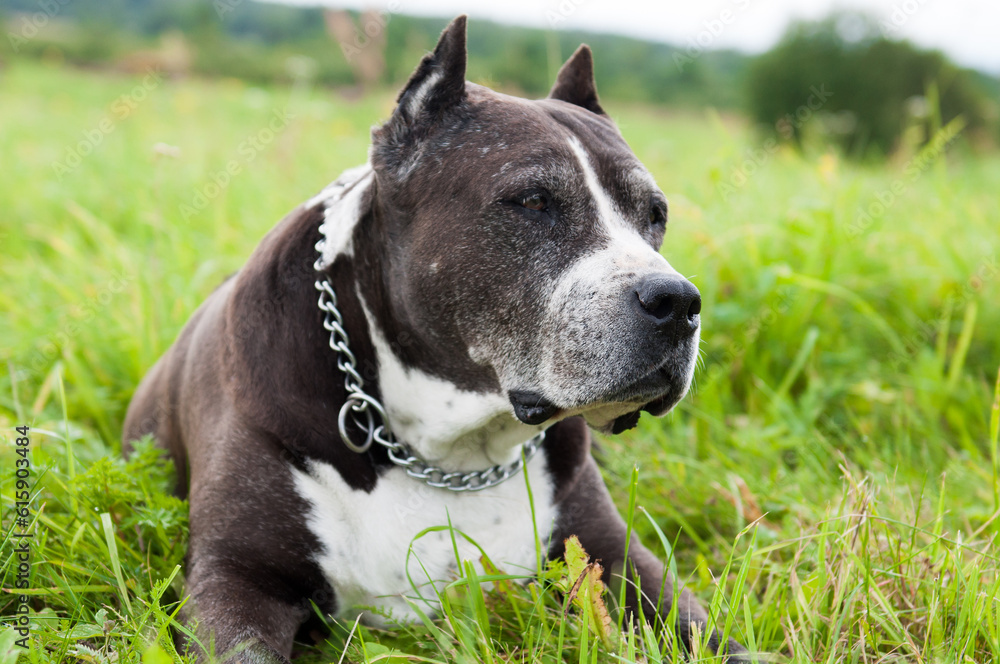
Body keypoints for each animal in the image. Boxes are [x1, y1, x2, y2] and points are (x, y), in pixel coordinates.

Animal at [121, 15, 752, 664]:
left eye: (655, 215)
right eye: (534, 201)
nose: (678, 302)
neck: (450, 453)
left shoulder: (614, 557)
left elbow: (714, 636)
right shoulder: (239, 577)